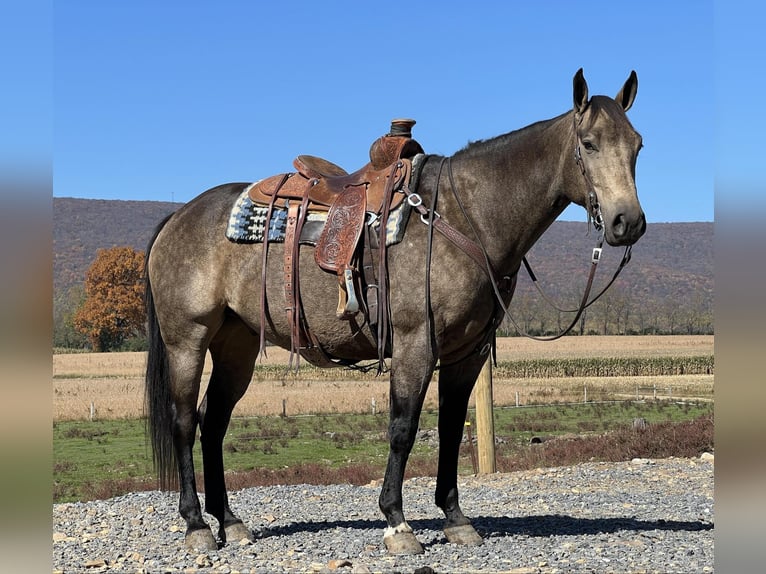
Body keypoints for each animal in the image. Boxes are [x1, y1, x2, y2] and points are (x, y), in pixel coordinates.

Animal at [146, 70, 648, 556]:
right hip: (188, 339)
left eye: (638, 145)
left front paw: (456, 519)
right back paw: (196, 525)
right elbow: (403, 427)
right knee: (185, 422)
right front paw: (397, 523)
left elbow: (450, 428)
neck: (464, 218)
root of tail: (177, 218)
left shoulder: (466, 353)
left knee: (214, 422)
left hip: (237, 345)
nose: (628, 223)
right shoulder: (415, 343)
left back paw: (230, 521)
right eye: (589, 143)